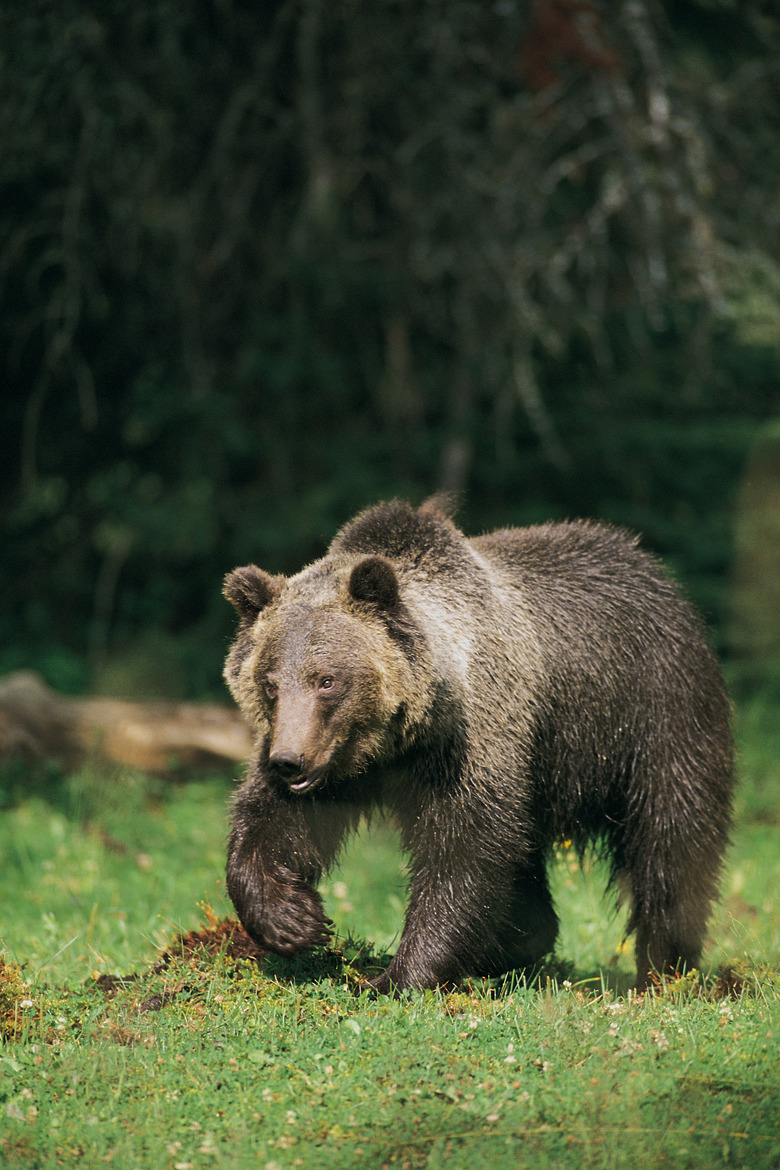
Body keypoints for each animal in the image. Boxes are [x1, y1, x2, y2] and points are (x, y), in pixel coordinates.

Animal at [222, 498, 734, 992]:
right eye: (270, 683)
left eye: (327, 680)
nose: (290, 761)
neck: (398, 740)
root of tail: (654, 569)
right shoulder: (335, 762)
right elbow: (274, 821)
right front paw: (294, 918)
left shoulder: (471, 742)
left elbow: (464, 852)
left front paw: (397, 976)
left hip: (654, 715)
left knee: (672, 841)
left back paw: (663, 968)